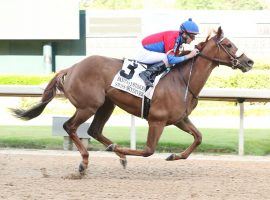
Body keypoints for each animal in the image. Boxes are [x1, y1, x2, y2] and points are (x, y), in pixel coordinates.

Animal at [12, 27, 253, 174]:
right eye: (228, 45)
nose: (249, 61)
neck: (183, 79)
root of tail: (70, 68)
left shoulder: (179, 119)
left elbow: (199, 138)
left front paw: (174, 155)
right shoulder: (156, 120)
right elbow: (148, 151)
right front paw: (122, 150)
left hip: (106, 104)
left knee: (94, 130)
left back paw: (116, 154)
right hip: (89, 105)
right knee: (69, 126)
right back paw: (86, 161)